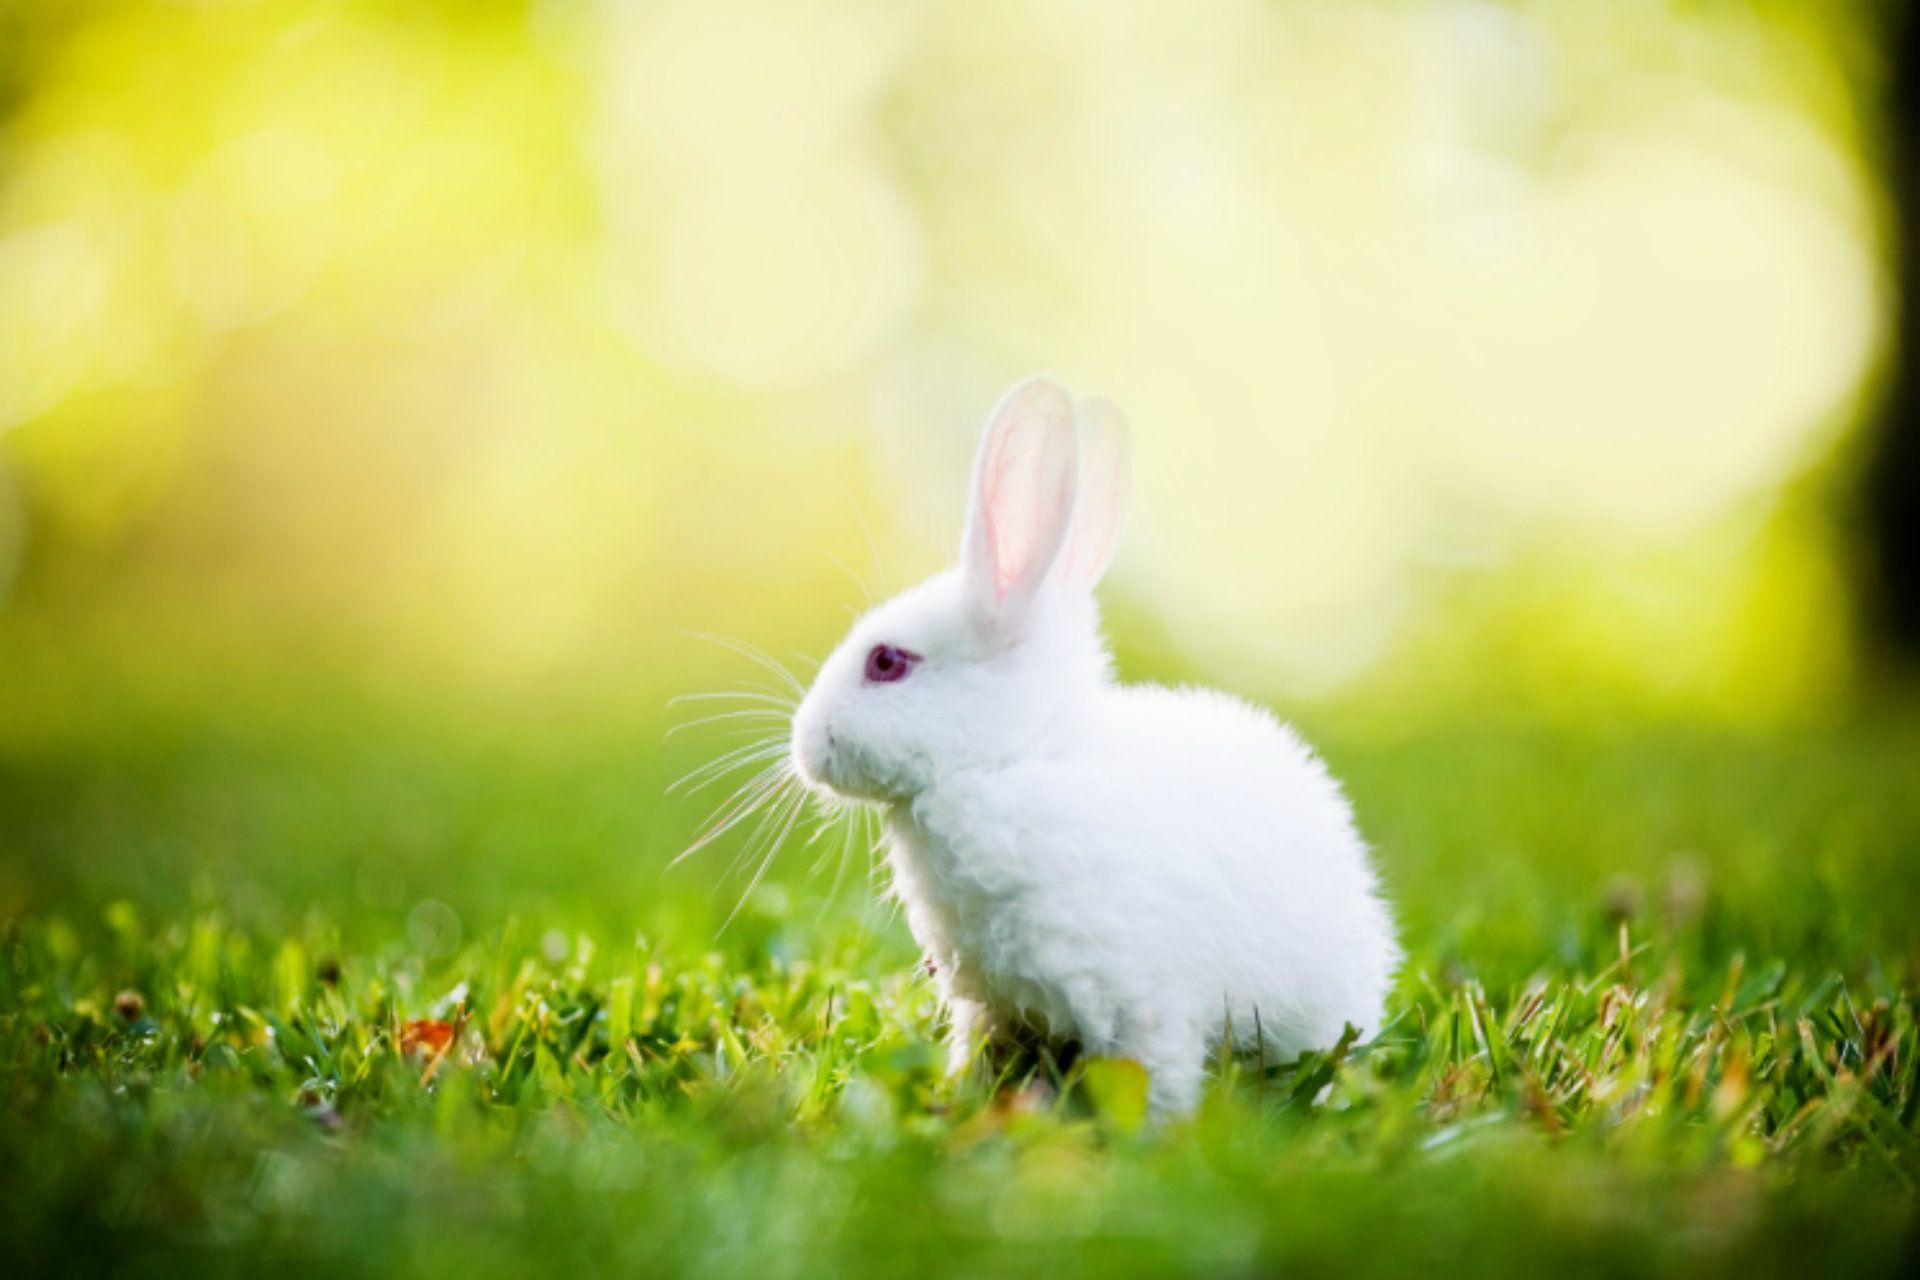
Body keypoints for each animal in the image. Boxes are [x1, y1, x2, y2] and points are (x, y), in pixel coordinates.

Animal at [788, 376, 1399, 1116]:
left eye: (886, 662)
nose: (804, 744)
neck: (1010, 758)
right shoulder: (991, 1002)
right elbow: (982, 1055)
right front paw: (963, 1100)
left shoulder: (1143, 998)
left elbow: (1154, 1076)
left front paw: (1153, 1132)